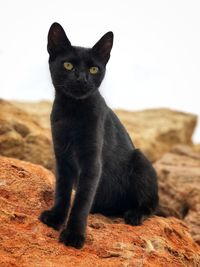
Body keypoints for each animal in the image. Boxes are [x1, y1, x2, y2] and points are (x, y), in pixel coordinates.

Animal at [38, 22, 158, 249]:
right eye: (68, 65)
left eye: (93, 69)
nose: (81, 78)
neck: (72, 112)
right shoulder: (62, 158)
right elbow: (62, 192)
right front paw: (56, 218)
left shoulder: (92, 162)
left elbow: (82, 200)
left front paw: (74, 235)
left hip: (140, 160)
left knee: (152, 205)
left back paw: (134, 215)